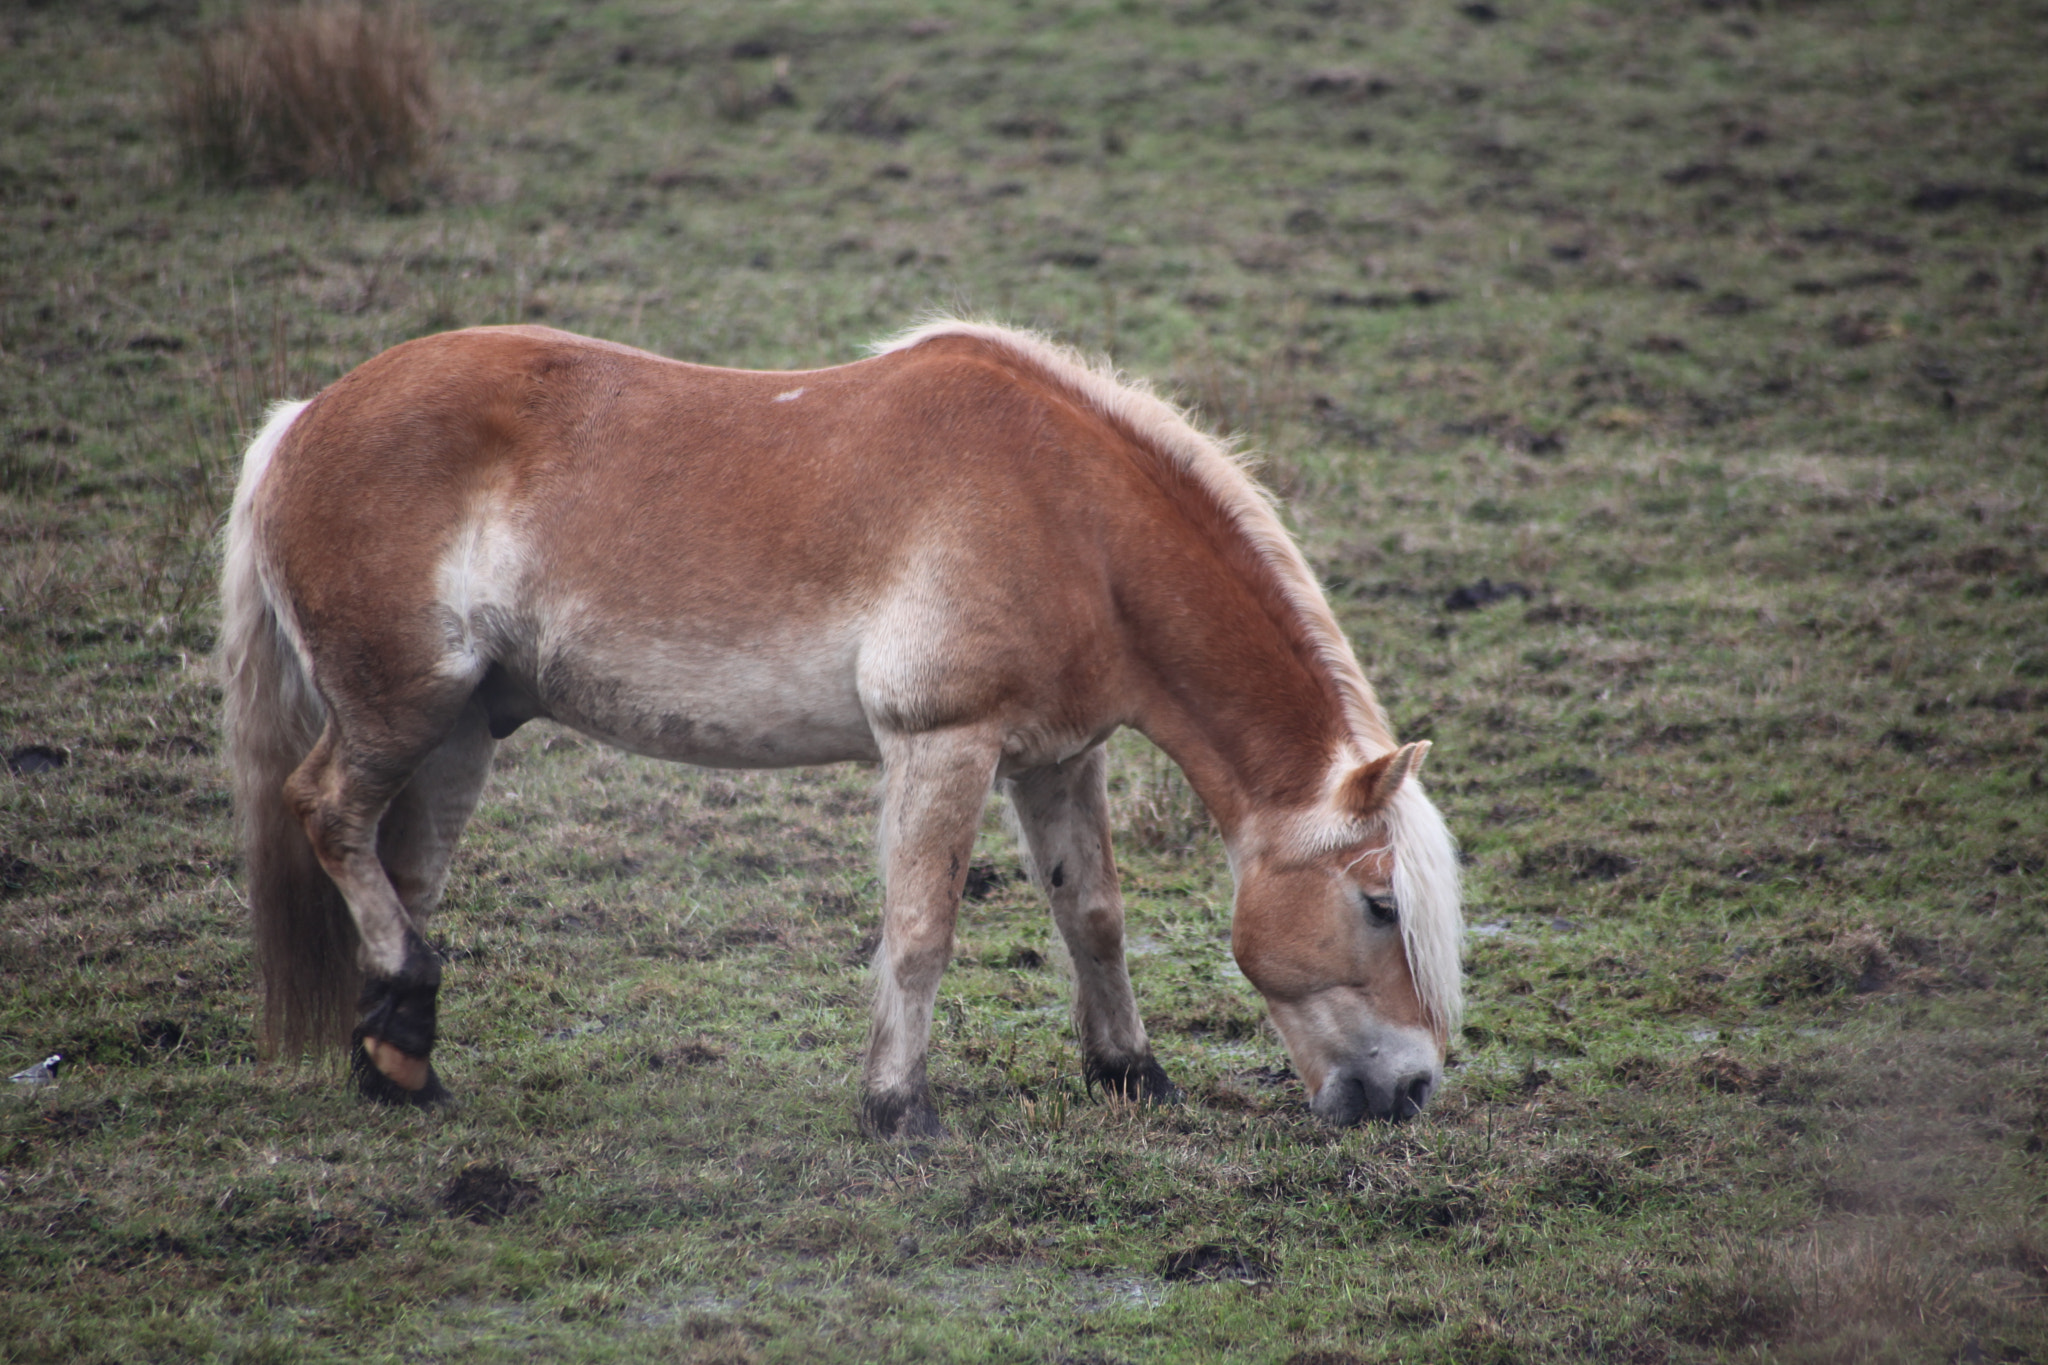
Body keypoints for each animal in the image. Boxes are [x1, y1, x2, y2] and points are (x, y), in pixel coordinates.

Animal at [220, 317, 1458, 1129]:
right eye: (1378, 903)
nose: (1408, 1090)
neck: (1070, 518)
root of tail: (297, 423)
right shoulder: (941, 745)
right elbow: (919, 934)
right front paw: (897, 1106)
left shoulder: (1057, 758)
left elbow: (1092, 918)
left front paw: (1127, 1076)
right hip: (401, 710)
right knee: (327, 816)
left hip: (463, 730)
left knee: (403, 870)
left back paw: (398, 1058)